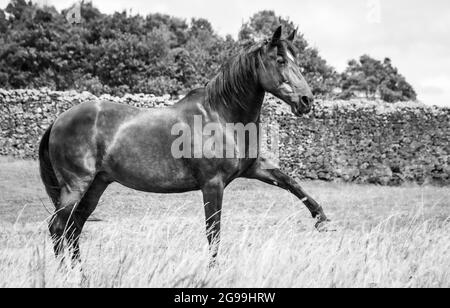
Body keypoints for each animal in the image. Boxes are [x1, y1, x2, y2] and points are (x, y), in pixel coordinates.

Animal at [38, 25, 328, 264]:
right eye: (279, 60)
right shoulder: (212, 184)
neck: (220, 116)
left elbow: (291, 183)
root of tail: (58, 120)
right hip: (76, 185)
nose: (306, 101)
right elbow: (213, 233)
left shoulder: (252, 168)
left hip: (96, 185)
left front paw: (322, 220)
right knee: (58, 228)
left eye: (296, 60)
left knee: (74, 227)